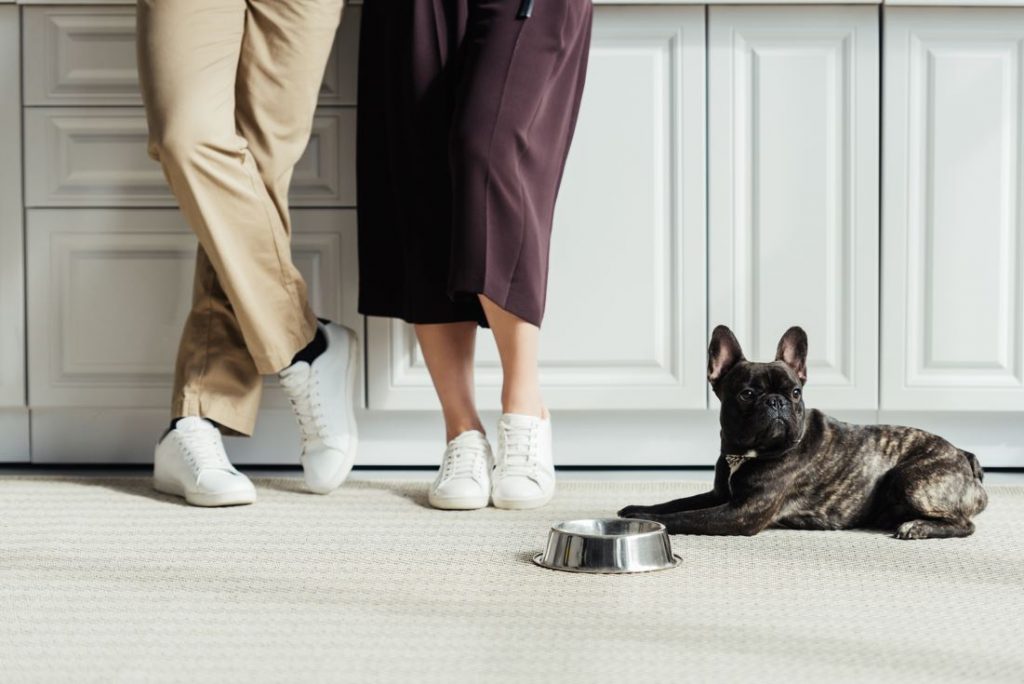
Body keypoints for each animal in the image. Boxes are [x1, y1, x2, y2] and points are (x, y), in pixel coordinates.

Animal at [618, 325, 987, 540]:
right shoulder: (719, 495)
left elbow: (687, 517)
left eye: (796, 392)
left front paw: (647, 519)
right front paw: (638, 509)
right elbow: (677, 502)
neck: (746, 454)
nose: (777, 401)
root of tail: (964, 457)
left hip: (908, 479)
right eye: (747, 394)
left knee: (965, 525)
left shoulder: (740, 514)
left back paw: (917, 527)